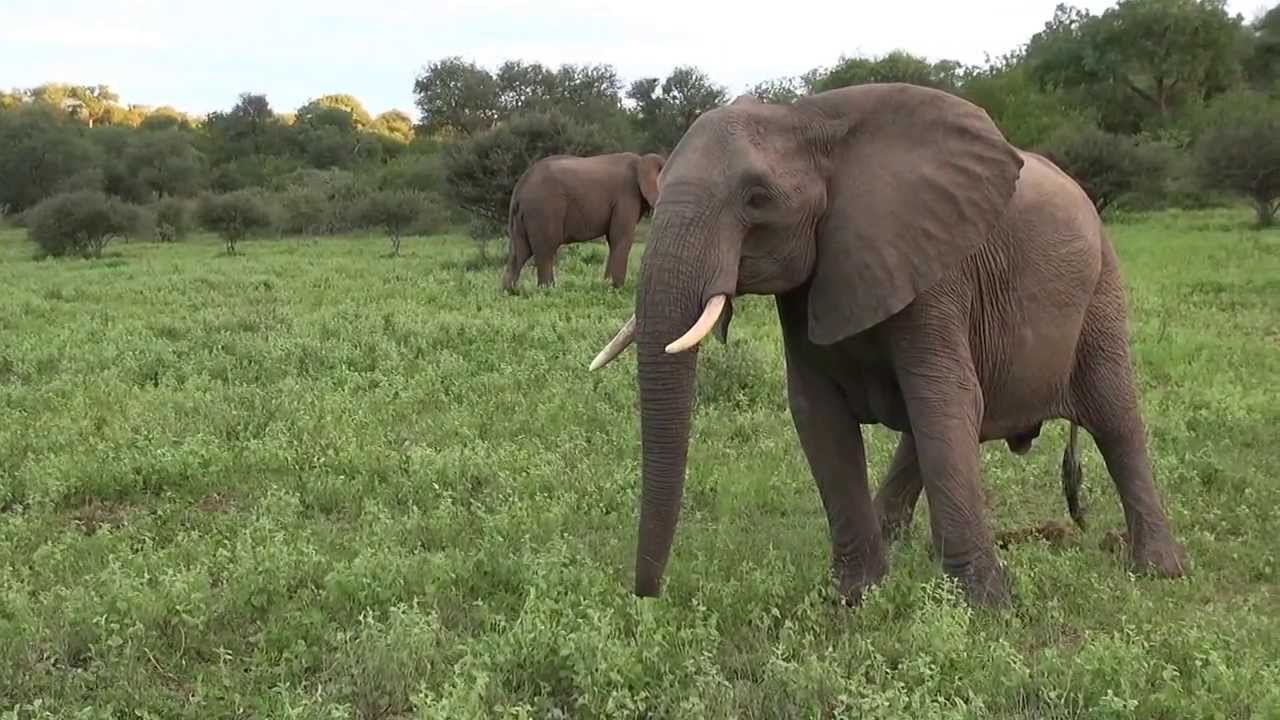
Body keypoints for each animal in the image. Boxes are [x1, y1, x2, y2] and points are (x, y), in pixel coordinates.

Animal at [502, 152, 664, 292]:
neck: (642, 161)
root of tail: (519, 188)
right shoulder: (626, 196)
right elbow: (620, 238)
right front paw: (614, 289)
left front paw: (606, 287)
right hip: (543, 210)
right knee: (545, 250)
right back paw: (548, 290)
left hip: (523, 216)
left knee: (519, 252)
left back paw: (510, 292)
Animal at [588, 83, 1186, 608]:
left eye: (757, 199)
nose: (646, 595)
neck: (808, 121)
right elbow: (819, 414)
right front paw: (856, 597)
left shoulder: (935, 269)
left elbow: (944, 400)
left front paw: (984, 610)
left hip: (1101, 287)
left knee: (1113, 415)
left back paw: (1159, 570)